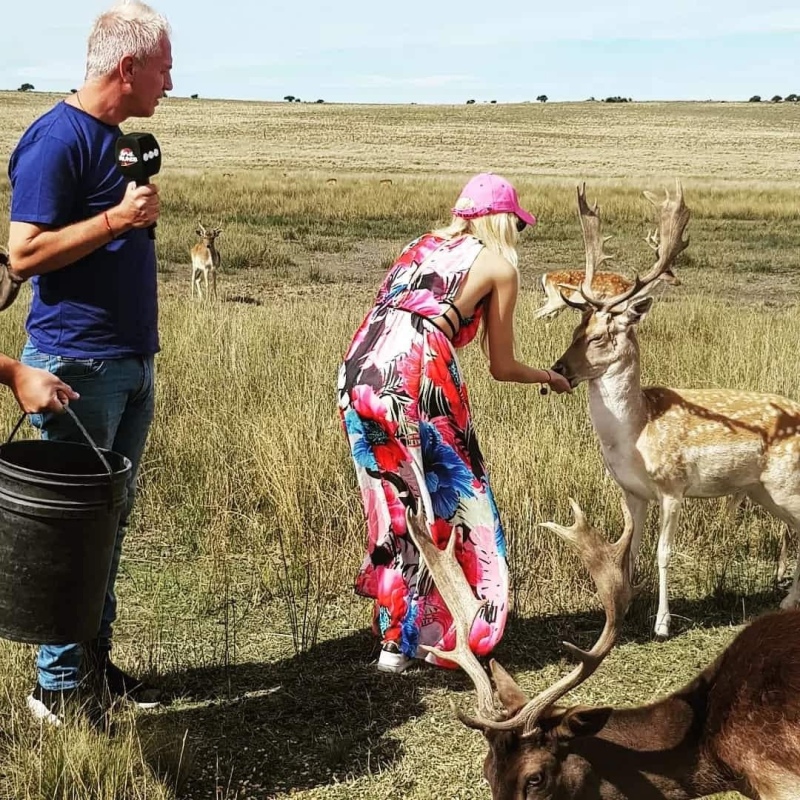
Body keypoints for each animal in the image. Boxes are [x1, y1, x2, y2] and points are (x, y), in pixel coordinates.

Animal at [552, 181, 800, 636]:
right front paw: (627, 608)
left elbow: (663, 552)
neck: (637, 432)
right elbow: (630, 550)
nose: (559, 368)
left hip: (785, 482)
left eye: (599, 336)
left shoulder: (673, 487)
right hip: (763, 489)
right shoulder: (633, 491)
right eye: (576, 330)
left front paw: (663, 623)